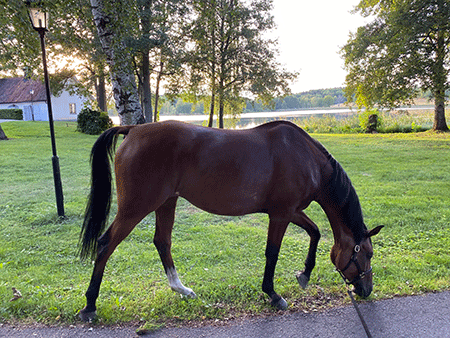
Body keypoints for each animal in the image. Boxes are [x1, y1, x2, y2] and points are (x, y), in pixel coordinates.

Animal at [79, 120, 382, 320]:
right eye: (367, 253)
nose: (367, 290)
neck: (307, 158)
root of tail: (133, 129)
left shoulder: (292, 211)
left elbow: (315, 232)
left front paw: (304, 274)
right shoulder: (281, 214)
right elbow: (272, 253)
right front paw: (273, 295)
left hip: (166, 202)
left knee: (162, 242)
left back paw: (182, 289)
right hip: (136, 207)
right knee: (106, 244)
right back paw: (90, 305)